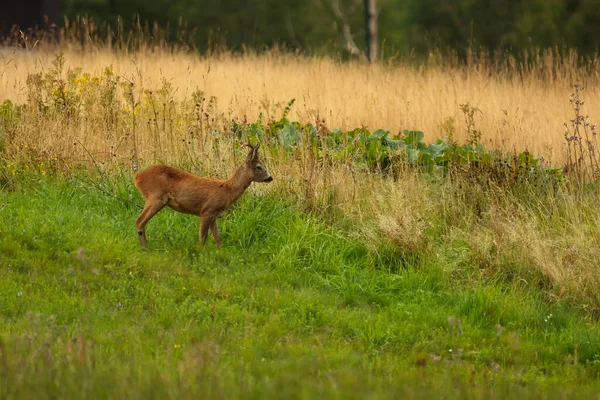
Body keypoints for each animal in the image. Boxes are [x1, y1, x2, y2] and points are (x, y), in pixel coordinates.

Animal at [135, 142, 274, 248]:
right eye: (259, 167)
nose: (270, 177)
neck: (228, 190)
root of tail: (137, 176)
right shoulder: (207, 210)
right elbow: (203, 237)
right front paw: (202, 254)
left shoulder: (214, 215)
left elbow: (217, 237)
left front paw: (220, 252)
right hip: (155, 198)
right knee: (139, 220)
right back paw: (145, 247)